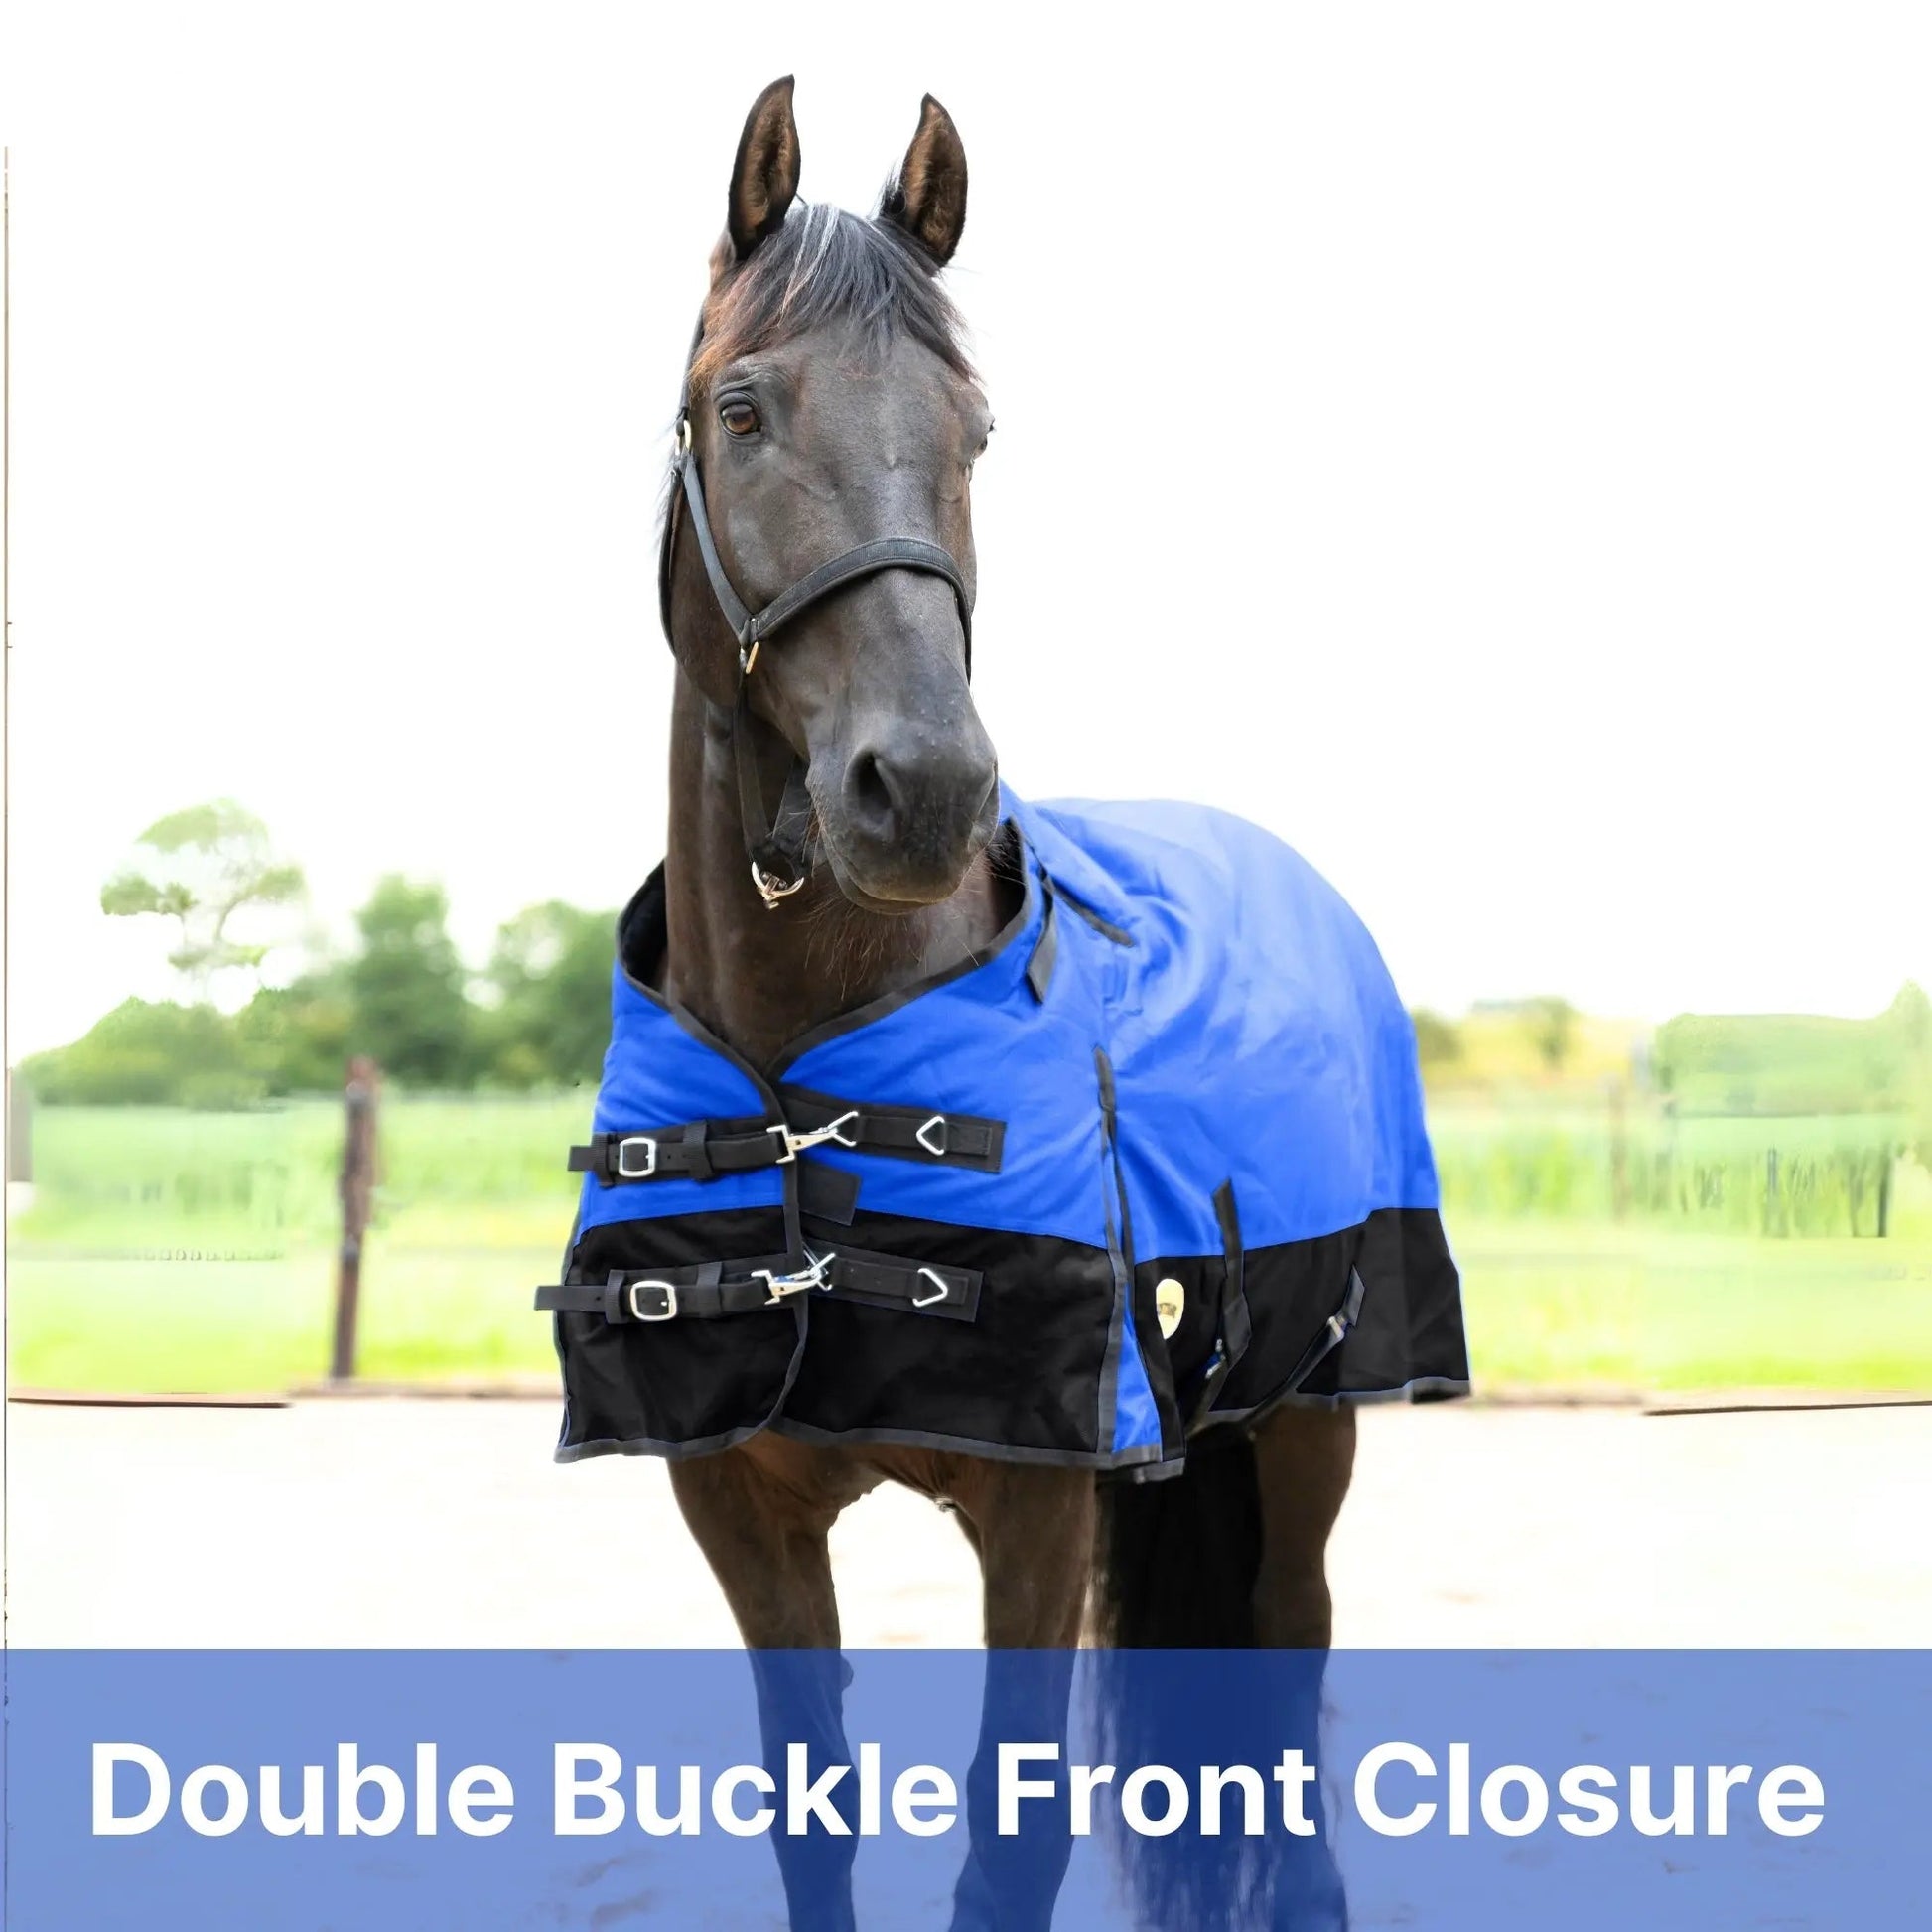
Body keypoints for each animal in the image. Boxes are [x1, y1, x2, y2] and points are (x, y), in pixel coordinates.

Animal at [540, 76, 1467, 1931]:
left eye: (974, 429)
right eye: (741, 408)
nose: (925, 792)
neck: (807, 1062)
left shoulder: (1038, 1515)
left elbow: (1006, 1838)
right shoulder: (738, 1510)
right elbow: (812, 1815)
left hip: (1308, 1438)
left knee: (1288, 1685)